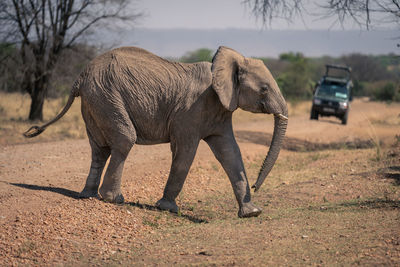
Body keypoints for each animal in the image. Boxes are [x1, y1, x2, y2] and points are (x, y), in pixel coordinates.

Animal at [23, 45, 288, 218]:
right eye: (264, 89)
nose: (257, 187)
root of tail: (80, 77)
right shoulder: (191, 110)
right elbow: (185, 153)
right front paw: (167, 208)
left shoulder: (220, 110)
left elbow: (230, 152)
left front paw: (252, 213)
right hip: (105, 96)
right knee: (124, 140)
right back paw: (114, 199)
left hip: (94, 102)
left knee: (99, 149)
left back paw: (87, 196)